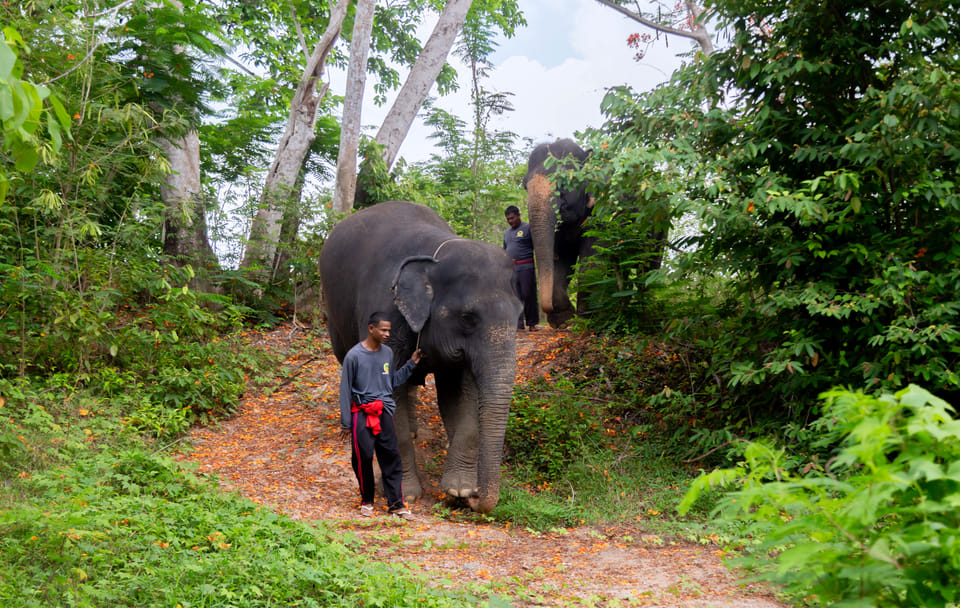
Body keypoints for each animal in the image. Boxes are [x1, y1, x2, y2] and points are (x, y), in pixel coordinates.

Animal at [319, 200, 521, 513]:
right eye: (468, 317)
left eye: (519, 314)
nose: (477, 497)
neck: (435, 255)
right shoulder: (387, 313)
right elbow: (392, 398)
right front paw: (410, 494)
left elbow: (461, 393)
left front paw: (458, 489)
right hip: (335, 317)